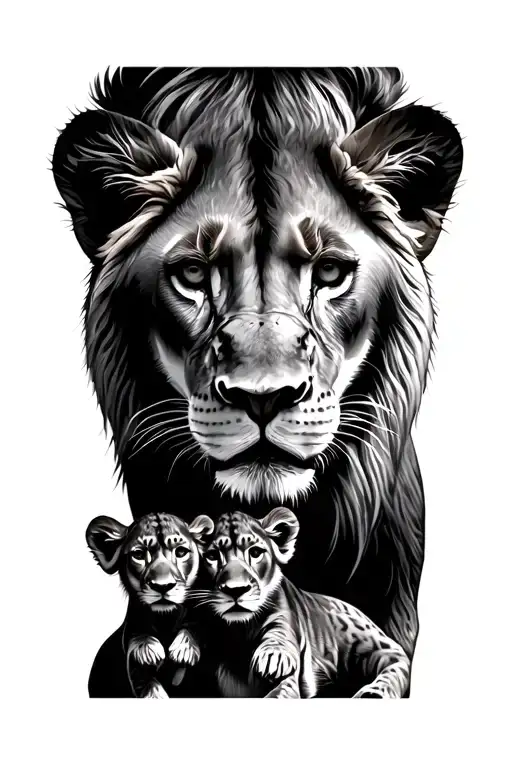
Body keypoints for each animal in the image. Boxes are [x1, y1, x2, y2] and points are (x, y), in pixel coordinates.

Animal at [86, 511, 213, 698]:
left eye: (181, 552)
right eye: (138, 554)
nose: (163, 586)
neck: (165, 621)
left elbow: (196, 625)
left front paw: (184, 649)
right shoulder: (135, 668)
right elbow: (149, 687)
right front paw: (147, 650)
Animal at [196, 507, 410, 699]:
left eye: (255, 552)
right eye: (212, 556)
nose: (235, 590)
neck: (240, 631)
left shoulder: (284, 626)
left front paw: (274, 658)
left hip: (368, 642)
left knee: (398, 660)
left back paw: (373, 693)